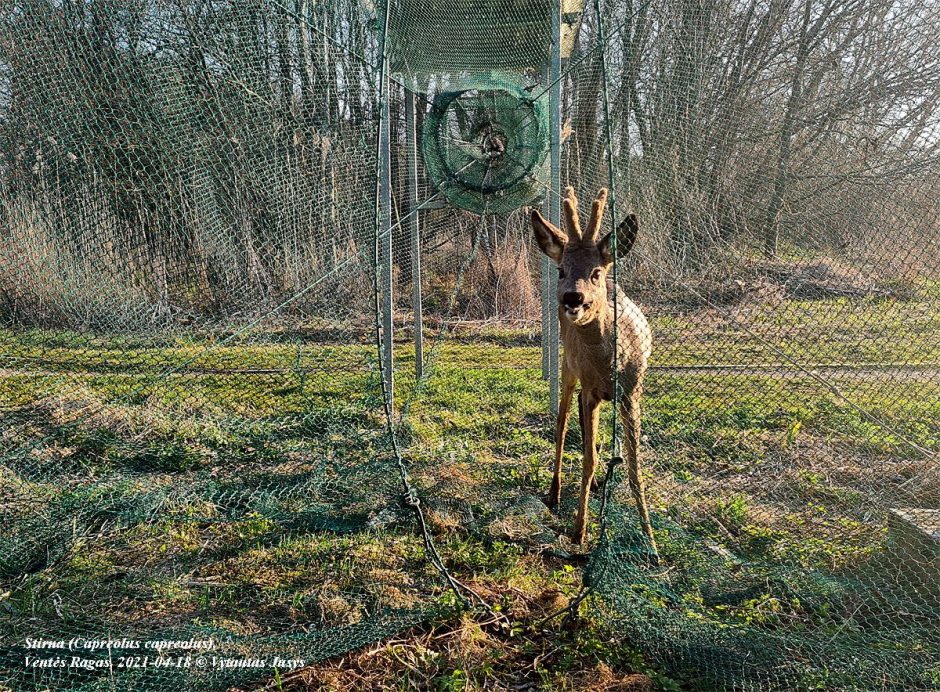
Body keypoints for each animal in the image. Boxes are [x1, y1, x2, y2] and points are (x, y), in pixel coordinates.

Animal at [532, 187, 656, 548]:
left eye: (596, 272)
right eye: (561, 270)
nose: (573, 298)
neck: (610, 366)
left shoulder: (632, 393)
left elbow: (634, 467)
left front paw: (650, 539)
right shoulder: (589, 388)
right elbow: (587, 458)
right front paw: (579, 530)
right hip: (568, 368)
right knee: (561, 424)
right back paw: (555, 493)